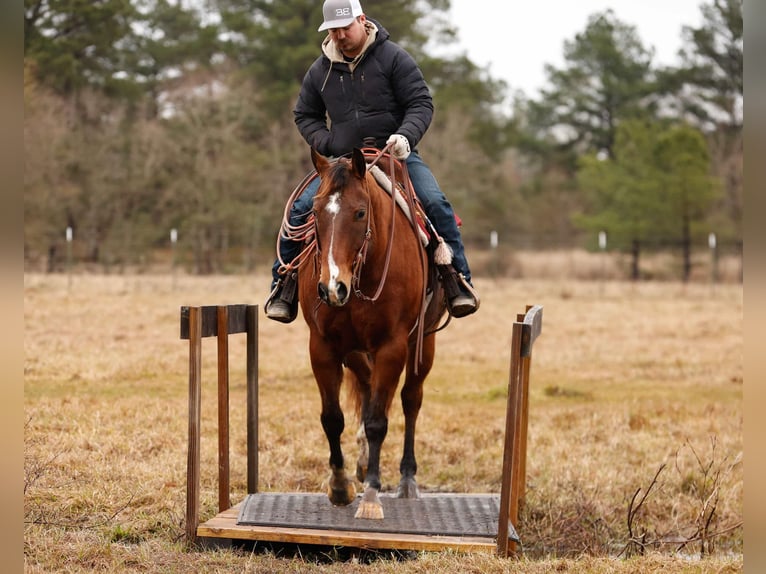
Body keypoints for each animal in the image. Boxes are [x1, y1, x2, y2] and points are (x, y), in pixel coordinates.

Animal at [296, 147, 448, 520]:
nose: (332, 287)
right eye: (315, 212)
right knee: (366, 389)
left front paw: (371, 497)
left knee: (410, 400)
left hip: (423, 343)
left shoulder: (392, 347)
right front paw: (340, 485)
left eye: (360, 212)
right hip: (355, 352)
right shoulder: (322, 346)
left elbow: (380, 419)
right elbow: (332, 418)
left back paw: (407, 479)